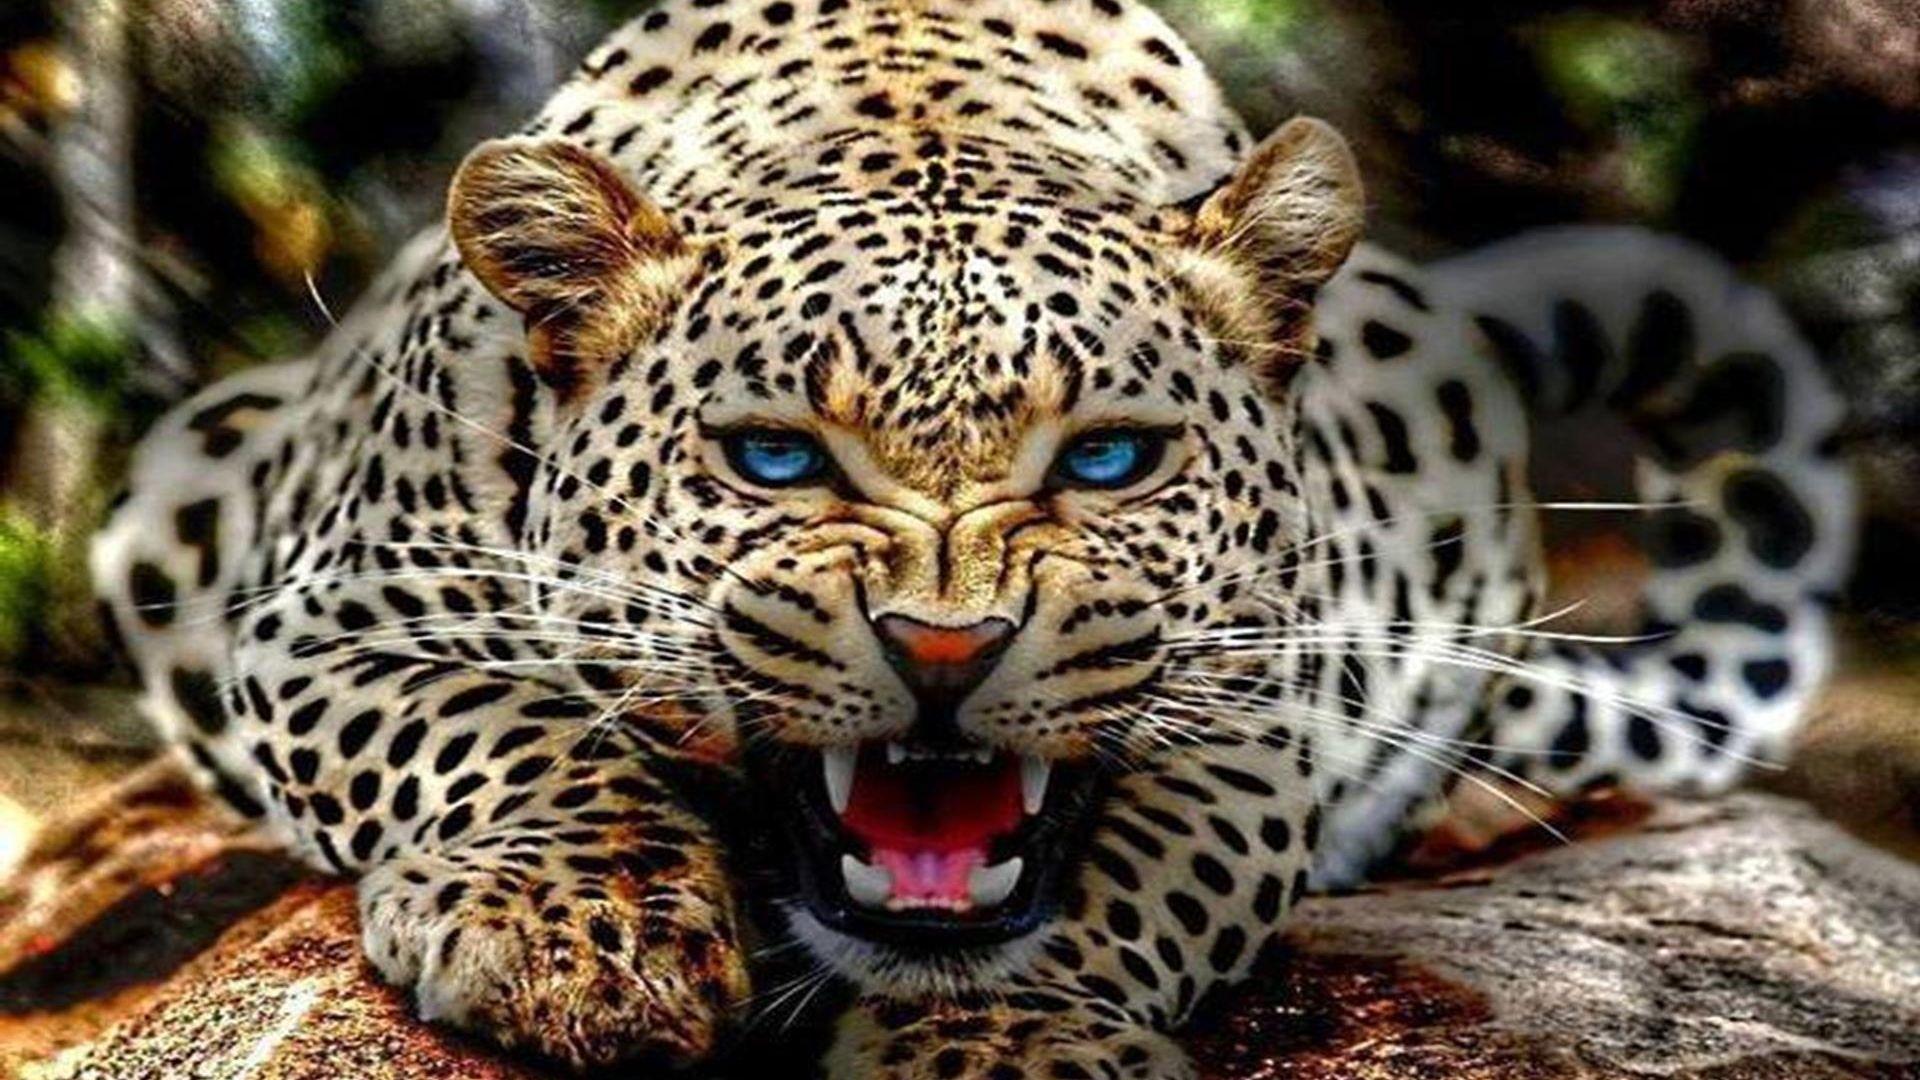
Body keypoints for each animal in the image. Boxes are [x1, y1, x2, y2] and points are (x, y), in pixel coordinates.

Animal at [92, 0, 1855, 1074]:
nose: (945, 650)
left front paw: (1005, 1038)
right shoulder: (325, 611)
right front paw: (573, 938)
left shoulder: (1269, 698)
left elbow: (1142, 868)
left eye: (1112, 458)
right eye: (776, 457)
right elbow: (499, 731)